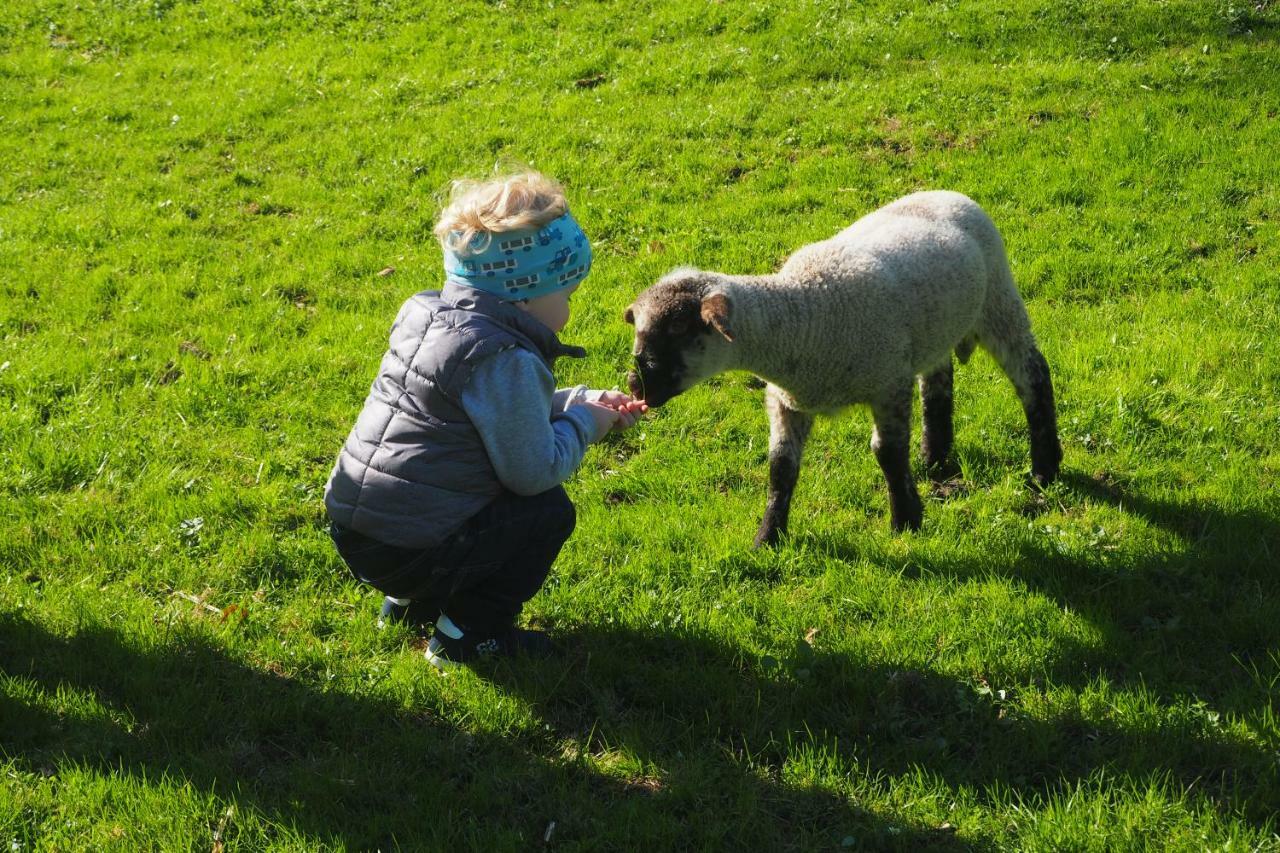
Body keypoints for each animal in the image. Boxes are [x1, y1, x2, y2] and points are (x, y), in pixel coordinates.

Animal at [627, 189, 1059, 545]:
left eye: (678, 330)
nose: (635, 385)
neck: (803, 314)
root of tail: (949, 193)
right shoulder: (787, 401)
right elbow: (780, 467)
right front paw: (768, 538)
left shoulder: (888, 383)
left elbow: (888, 453)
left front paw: (905, 520)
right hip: (933, 332)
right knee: (938, 381)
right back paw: (933, 457)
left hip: (999, 301)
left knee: (1033, 376)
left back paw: (1045, 468)